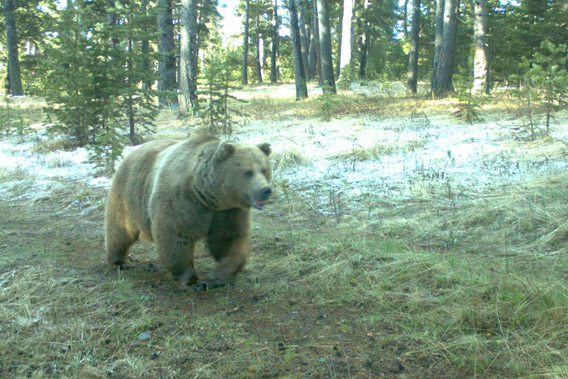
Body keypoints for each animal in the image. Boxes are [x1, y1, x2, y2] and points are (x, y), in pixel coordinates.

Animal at [105, 135, 272, 290]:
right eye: (248, 172)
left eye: (264, 169)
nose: (266, 190)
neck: (206, 195)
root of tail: (131, 152)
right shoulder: (180, 202)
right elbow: (176, 237)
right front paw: (192, 280)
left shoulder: (228, 211)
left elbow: (228, 238)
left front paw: (222, 272)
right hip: (127, 197)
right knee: (120, 231)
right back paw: (119, 261)